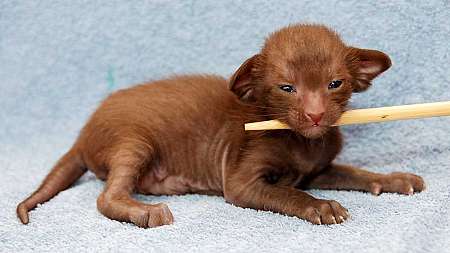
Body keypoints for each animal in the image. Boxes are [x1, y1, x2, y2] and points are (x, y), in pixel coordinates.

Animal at [16, 24, 426, 228]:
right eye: (287, 88)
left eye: (334, 84)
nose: (314, 115)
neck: (304, 143)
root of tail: (81, 135)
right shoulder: (242, 182)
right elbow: (287, 194)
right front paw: (321, 207)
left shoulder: (316, 170)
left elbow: (354, 172)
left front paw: (393, 179)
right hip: (134, 140)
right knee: (107, 197)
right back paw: (146, 211)